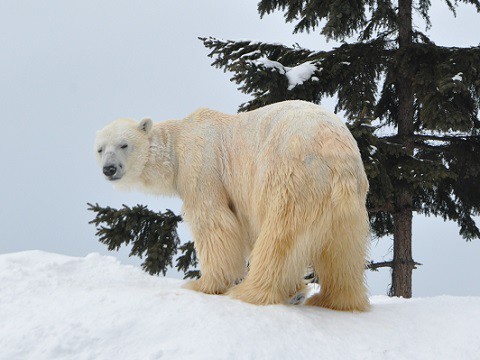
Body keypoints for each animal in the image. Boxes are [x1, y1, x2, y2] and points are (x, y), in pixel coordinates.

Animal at [94, 100, 372, 310]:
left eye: (124, 144)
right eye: (100, 149)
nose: (109, 169)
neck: (179, 140)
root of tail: (336, 152)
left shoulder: (201, 164)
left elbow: (214, 220)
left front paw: (204, 285)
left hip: (292, 176)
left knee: (280, 238)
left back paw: (249, 292)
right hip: (350, 203)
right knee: (343, 251)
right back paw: (333, 300)